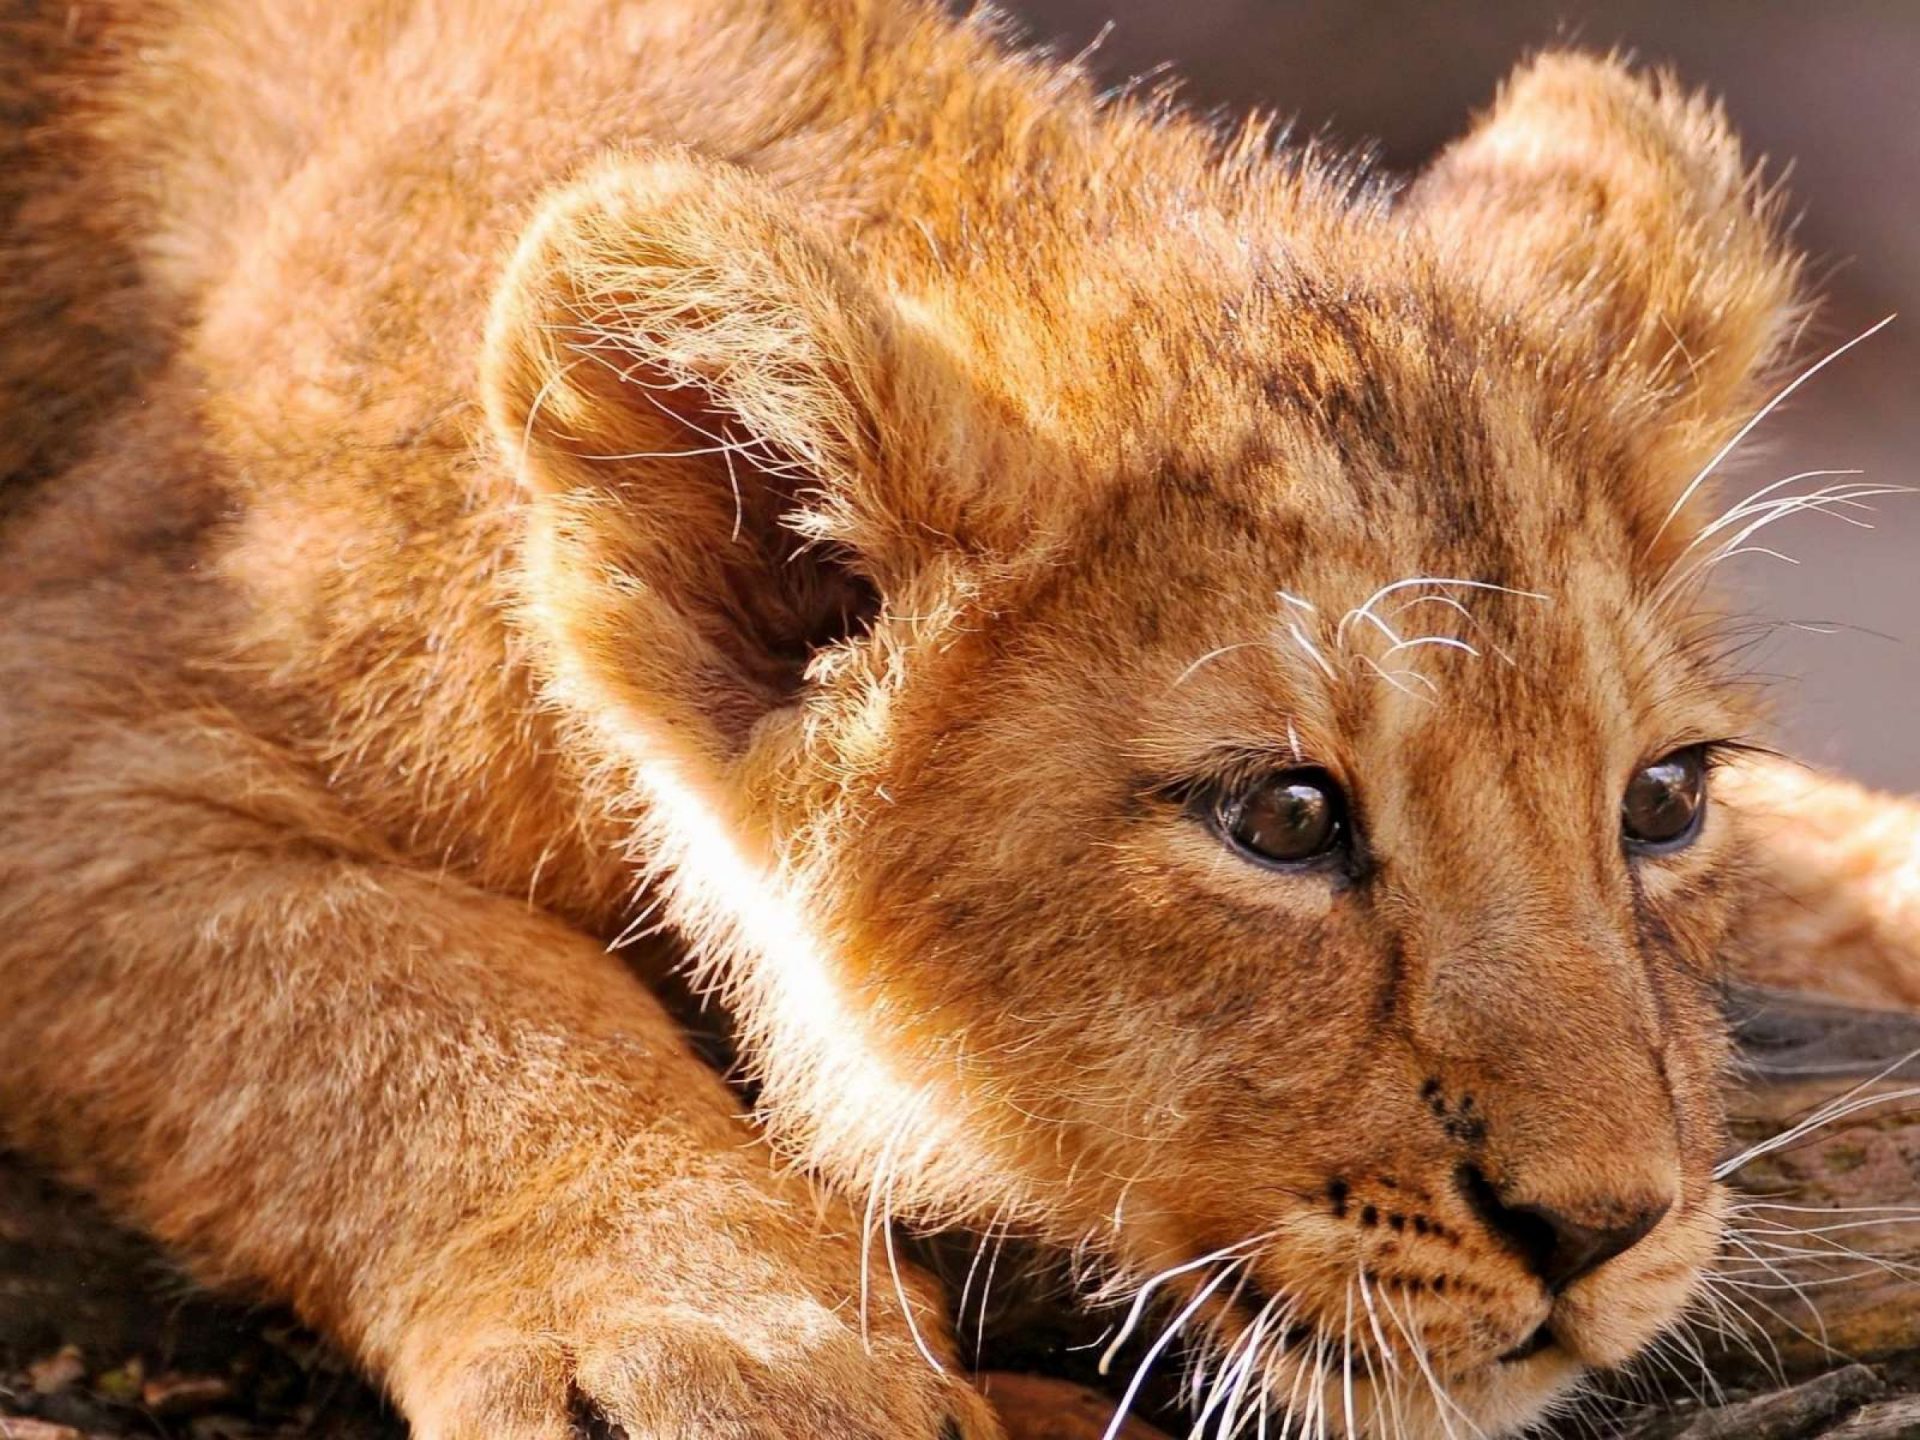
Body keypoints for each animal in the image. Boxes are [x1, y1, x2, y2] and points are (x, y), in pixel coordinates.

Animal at [1, 2, 1915, 1436]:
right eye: (1284, 821)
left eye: (1663, 801)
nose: (1605, 1230)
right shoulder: (86, 680)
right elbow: (403, 987)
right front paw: (721, 1344)